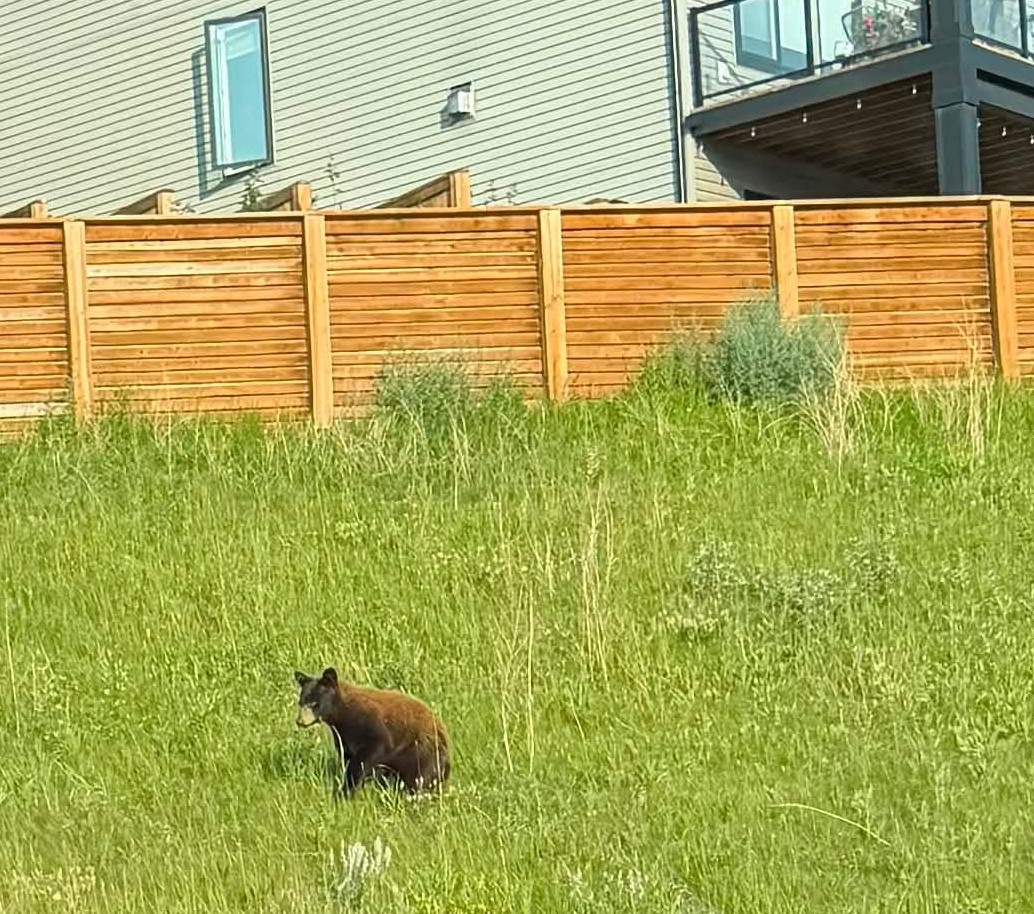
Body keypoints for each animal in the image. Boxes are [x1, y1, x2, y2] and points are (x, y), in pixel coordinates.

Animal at [293, 666, 451, 798]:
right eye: (300, 703)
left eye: (314, 703)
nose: (300, 721)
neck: (341, 713)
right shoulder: (343, 736)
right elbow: (347, 755)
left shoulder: (370, 724)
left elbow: (372, 751)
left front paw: (346, 790)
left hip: (421, 753)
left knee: (418, 778)